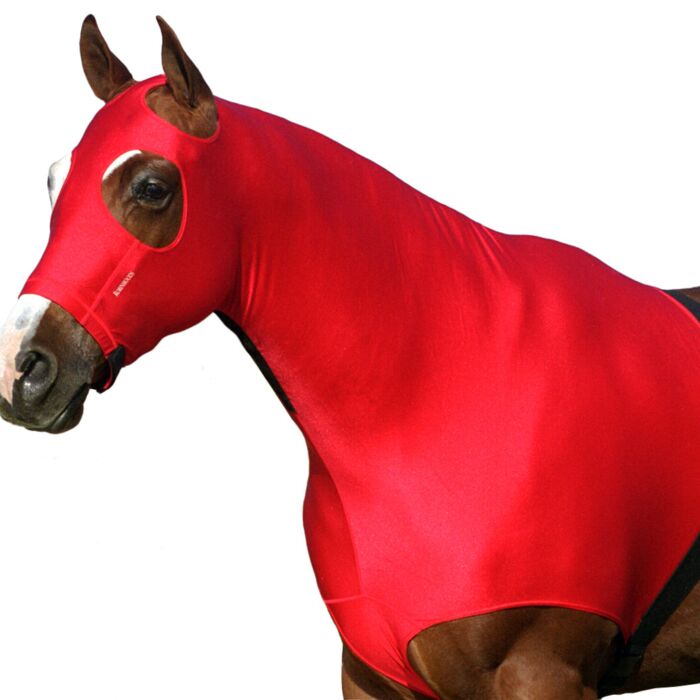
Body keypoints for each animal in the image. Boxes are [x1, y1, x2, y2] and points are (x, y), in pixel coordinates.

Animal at [0, 15, 698, 699]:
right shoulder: (369, 676)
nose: (19, 368)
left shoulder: (543, 672)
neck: (437, 392)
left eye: (151, 187)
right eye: (52, 180)